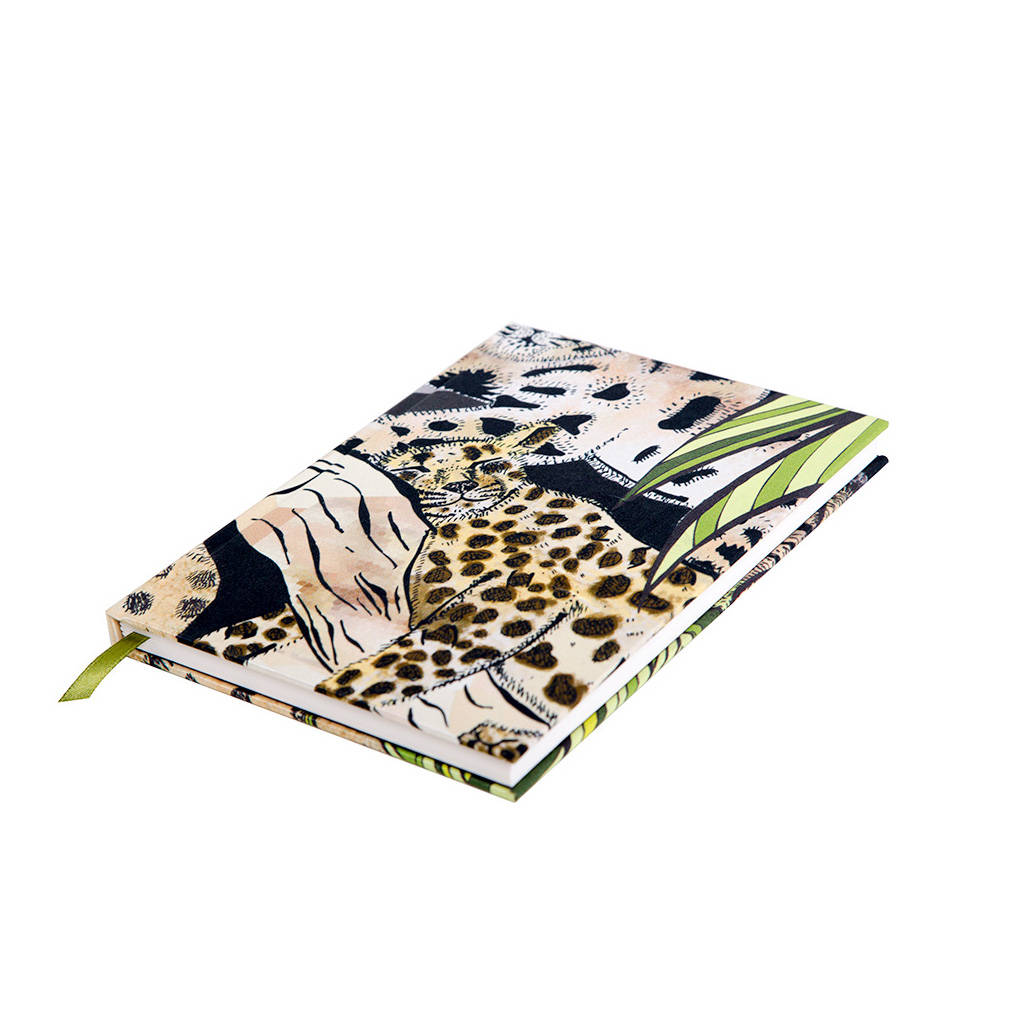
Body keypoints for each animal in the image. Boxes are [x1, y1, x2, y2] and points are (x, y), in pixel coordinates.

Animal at [316, 422, 716, 760]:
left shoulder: (512, 598)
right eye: (412, 472)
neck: (451, 528)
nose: (459, 488)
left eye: (487, 463)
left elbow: (396, 665)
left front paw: (333, 690)